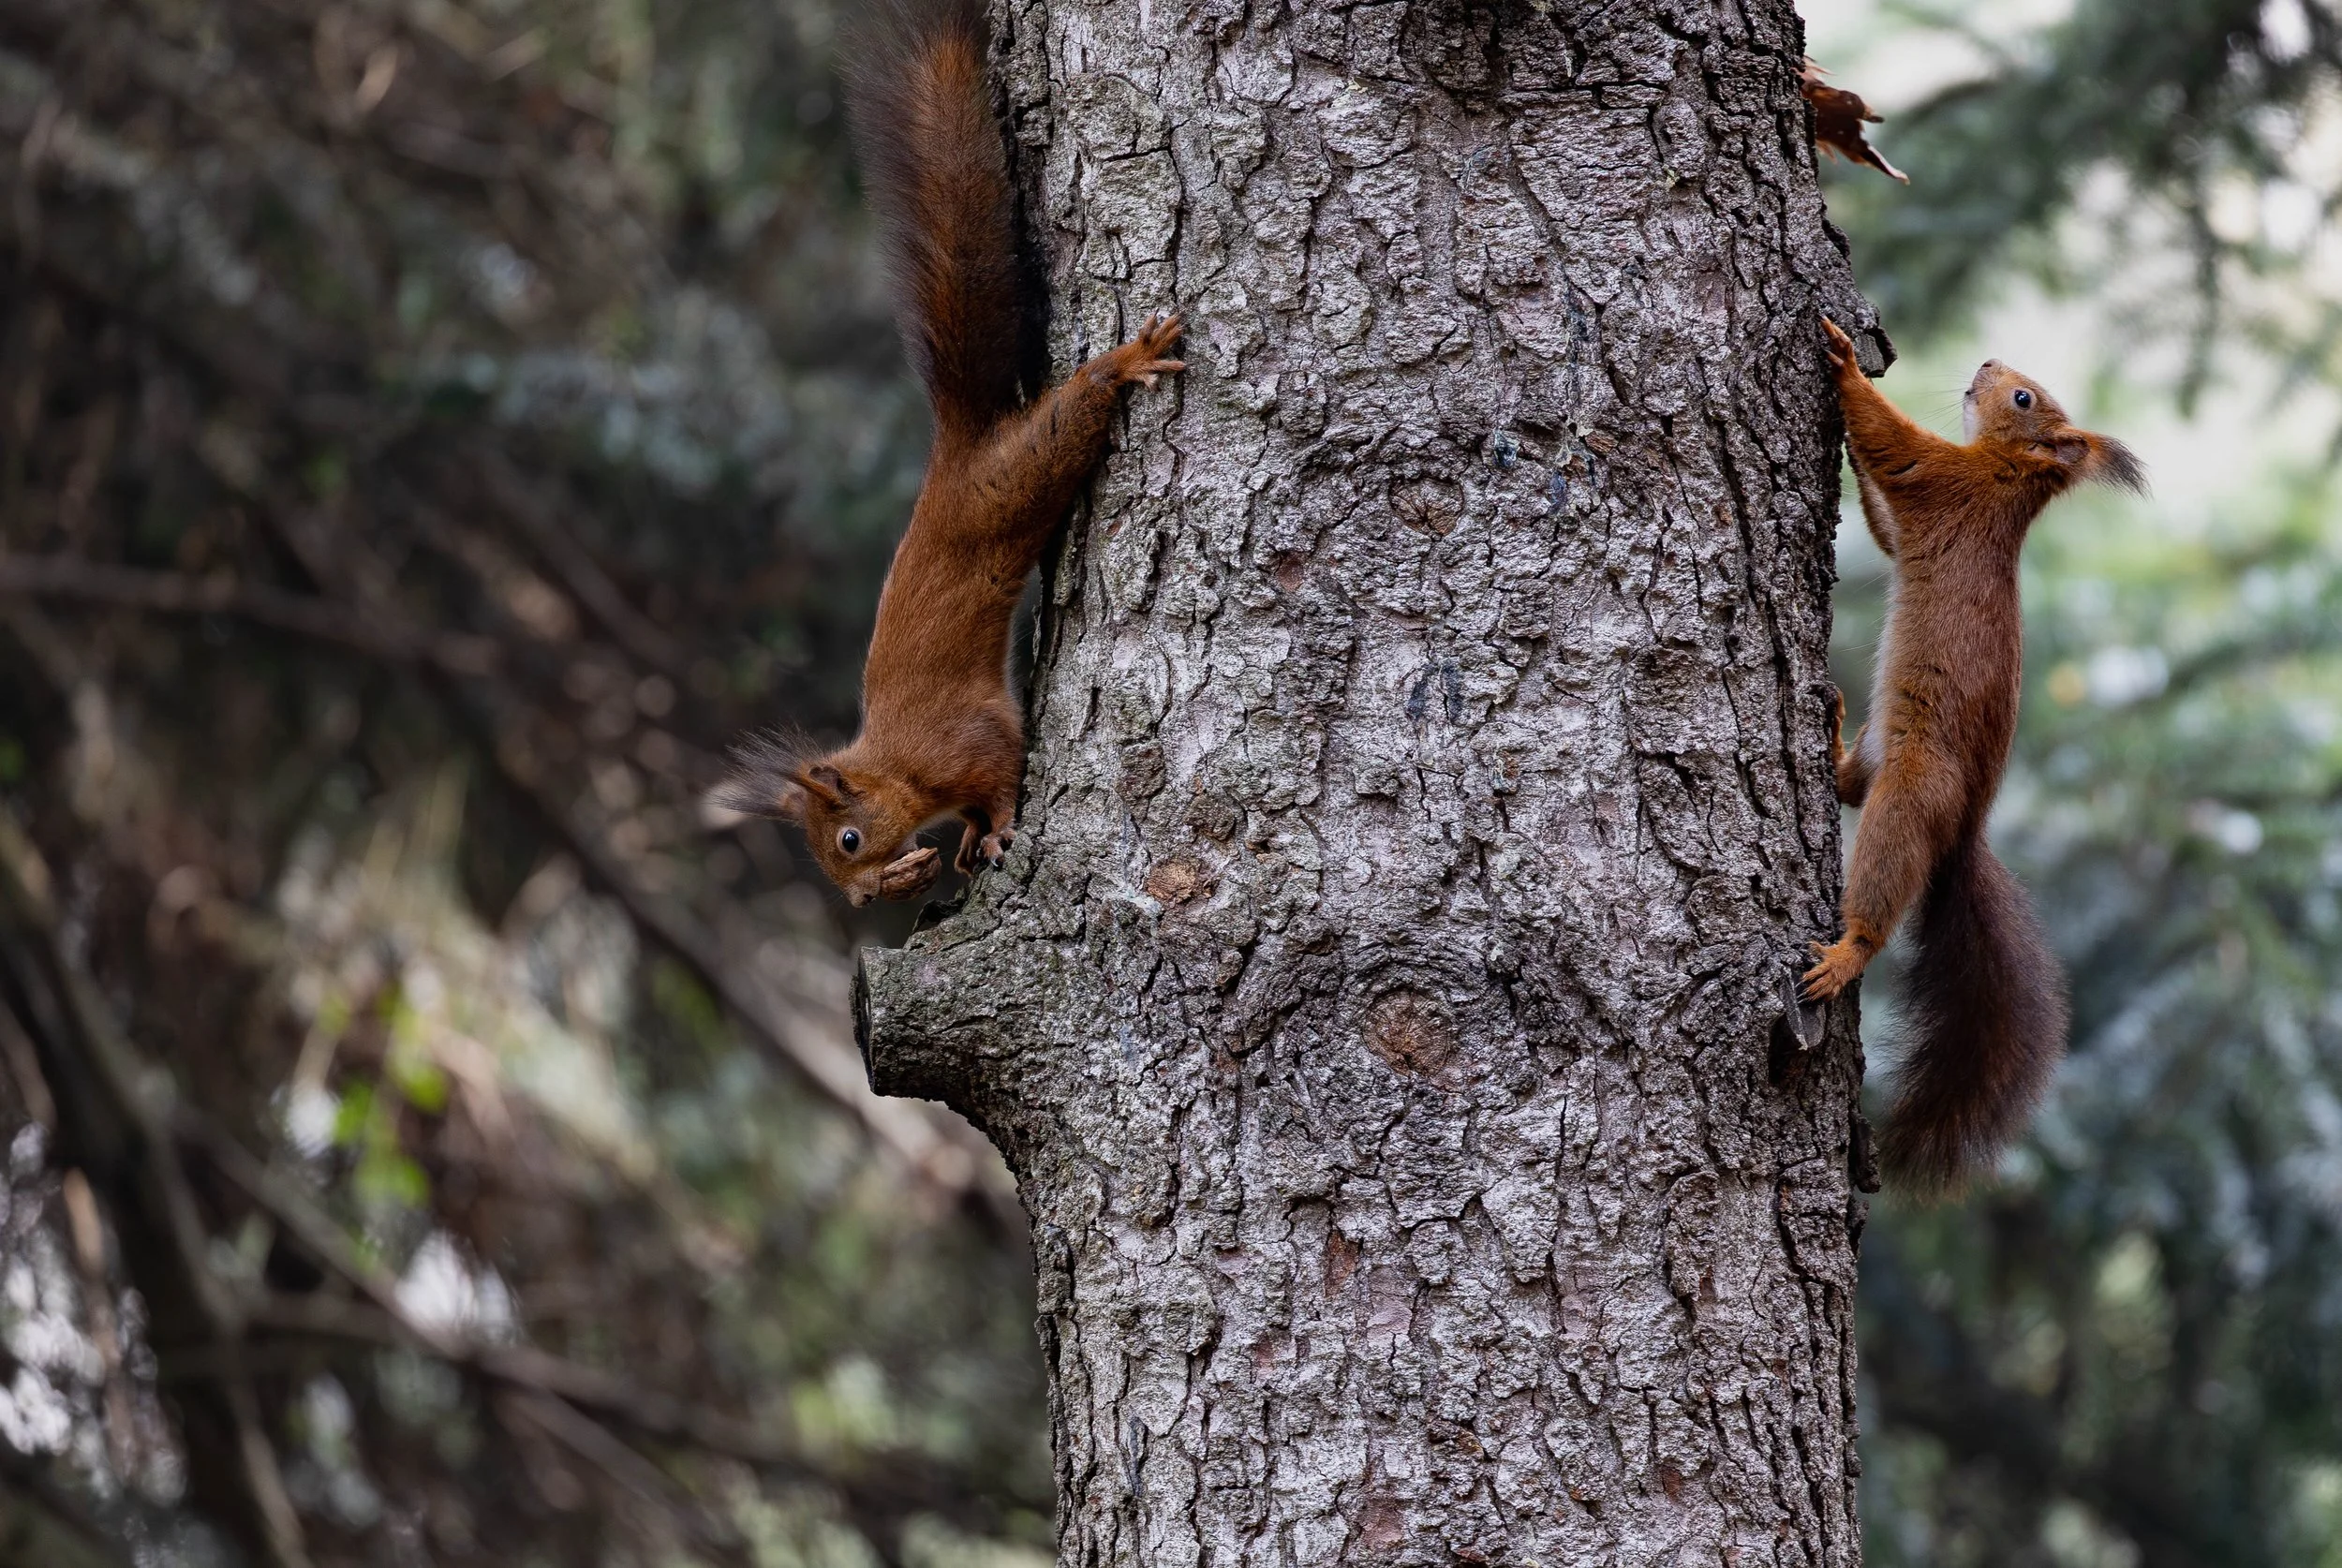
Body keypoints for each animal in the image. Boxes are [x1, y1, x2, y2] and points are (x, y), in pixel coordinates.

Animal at [715, 0, 1184, 906]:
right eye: (828, 860)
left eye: (850, 838)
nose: (863, 899)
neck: (897, 765)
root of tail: (956, 451)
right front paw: (955, 848)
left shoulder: (970, 739)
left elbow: (1001, 774)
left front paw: (991, 831)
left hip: (1015, 479)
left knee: (1066, 422)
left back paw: (1122, 365)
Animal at [1803, 317, 2144, 1193]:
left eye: (2022, 397)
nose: (1988, 360)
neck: (2007, 476)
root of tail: (1964, 832)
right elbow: (1886, 528)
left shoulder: (1945, 479)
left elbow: (1894, 447)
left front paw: (1845, 361)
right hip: (1887, 753)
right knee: (1849, 788)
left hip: (1916, 786)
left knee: (1880, 867)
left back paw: (1848, 952)